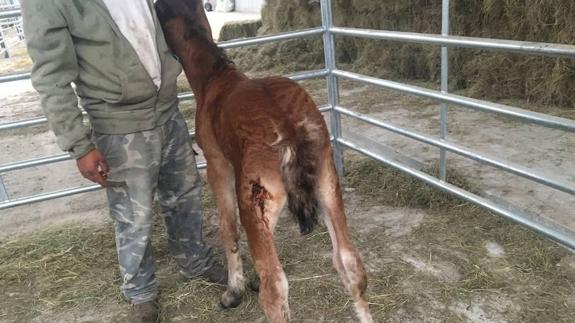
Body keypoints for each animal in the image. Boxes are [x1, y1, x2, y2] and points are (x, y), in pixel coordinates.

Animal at [154, 1, 374, 322]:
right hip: (328, 187)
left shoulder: (218, 166)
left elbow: (228, 228)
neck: (215, 79)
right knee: (350, 262)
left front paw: (233, 291)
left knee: (275, 290)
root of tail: (288, 125)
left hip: (254, 203)